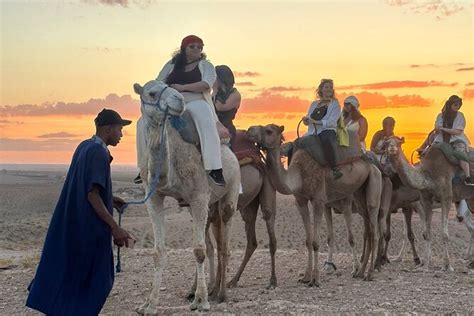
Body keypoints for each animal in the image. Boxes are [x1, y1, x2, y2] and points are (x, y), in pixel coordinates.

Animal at [246, 124, 384, 284]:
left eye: (269, 131)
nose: (250, 130)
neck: (299, 175)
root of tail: (370, 161)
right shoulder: (301, 201)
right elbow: (308, 240)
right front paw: (306, 276)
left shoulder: (318, 199)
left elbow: (316, 242)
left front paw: (316, 278)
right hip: (359, 194)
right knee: (367, 230)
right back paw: (361, 272)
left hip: (374, 182)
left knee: (373, 229)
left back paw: (369, 273)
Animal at [386, 136, 474, 272]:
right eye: (387, 142)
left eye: (399, 143)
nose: (391, 148)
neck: (428, 176)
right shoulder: (425, 201)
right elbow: (426, 234)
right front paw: (426, 265)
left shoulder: (445, 197)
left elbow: (444, 234)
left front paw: (447, 266)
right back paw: (469, 261)